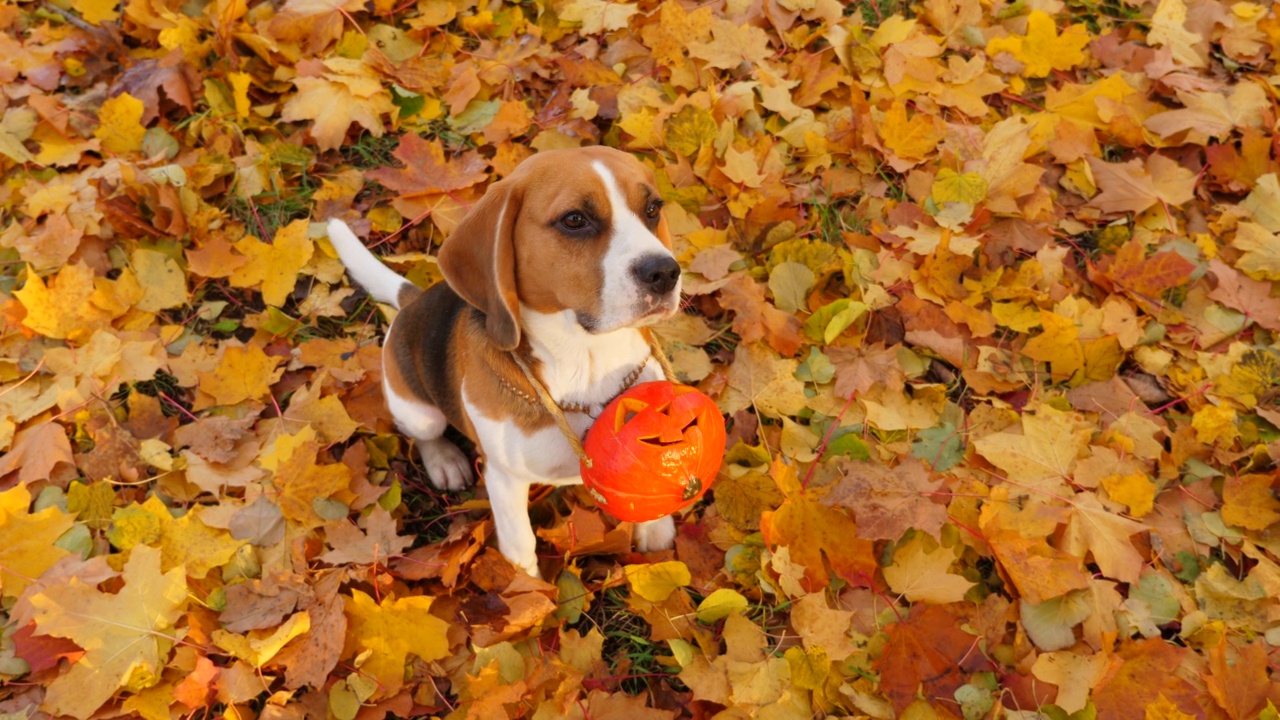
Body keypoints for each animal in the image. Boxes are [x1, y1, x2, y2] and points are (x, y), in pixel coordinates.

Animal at [330, 147, 686, 576]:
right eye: (574, 220)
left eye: (652, 208)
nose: (664, 271)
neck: (585, 361)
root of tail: (413, 301)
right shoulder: (504, 479)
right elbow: (520, 544)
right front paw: (528, 587)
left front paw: (656, 529)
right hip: (418, 411)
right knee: (424, 434)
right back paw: (445, 460)